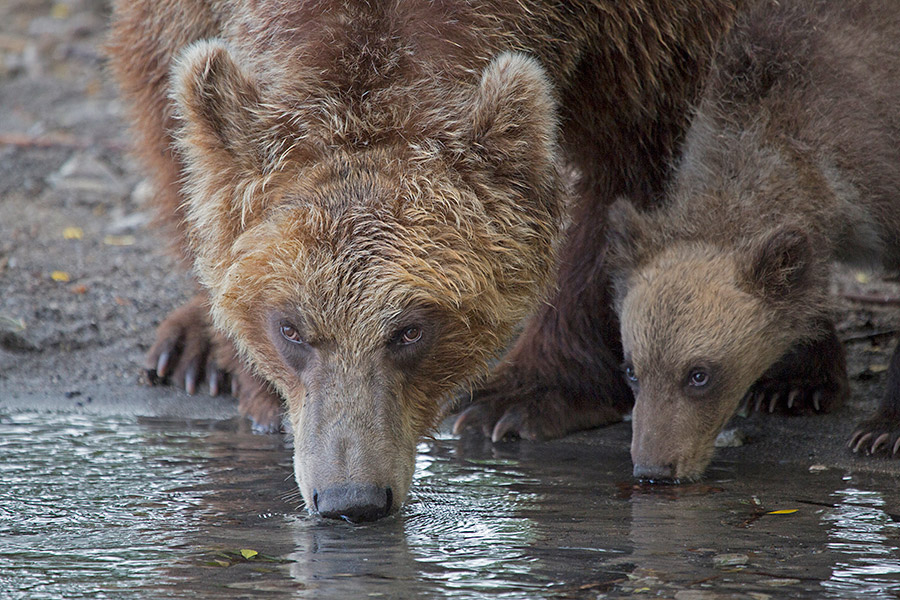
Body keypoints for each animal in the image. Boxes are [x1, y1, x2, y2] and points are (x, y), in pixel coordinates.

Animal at [107, 1, 740, 520]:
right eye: (290, 329)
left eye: (410, 330)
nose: (351, 499)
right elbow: (170, 101)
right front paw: (250, 375)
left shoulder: (644, 36)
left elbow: (630, 161)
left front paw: (526, 395)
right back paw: (192, 351)